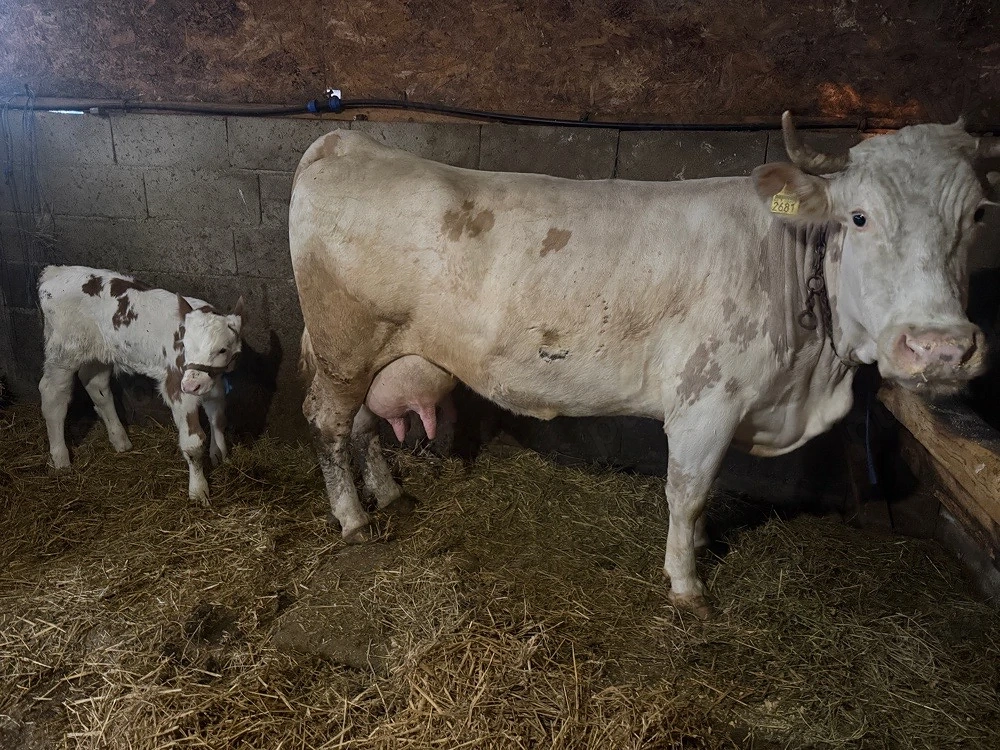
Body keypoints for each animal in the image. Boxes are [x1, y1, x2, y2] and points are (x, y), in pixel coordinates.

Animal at [37, 265, 244, 504]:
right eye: (185, 345)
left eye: (222, 349)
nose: (192, 385)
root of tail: (55, 272)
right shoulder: (177, 387)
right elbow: (193, 443)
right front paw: (198, 491)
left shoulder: (216, 386)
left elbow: (218, 419)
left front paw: (220, 456)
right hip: (64, 351)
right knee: (53, 395)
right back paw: (61, 460)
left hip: (100, 352)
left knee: (96, 384)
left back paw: (120, 441)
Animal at [289, 113, 998, 618]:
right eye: (859, 216)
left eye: (975, 217)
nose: (939, 347)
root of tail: (344, 143)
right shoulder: (706, 398)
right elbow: (688, 490)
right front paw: (687, 584)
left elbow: (705, 490)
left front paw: (702, 550)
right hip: (344, 345)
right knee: (326, 422)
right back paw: (353, 520)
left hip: (372, 355)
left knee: (362, 425)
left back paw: (388, 494)